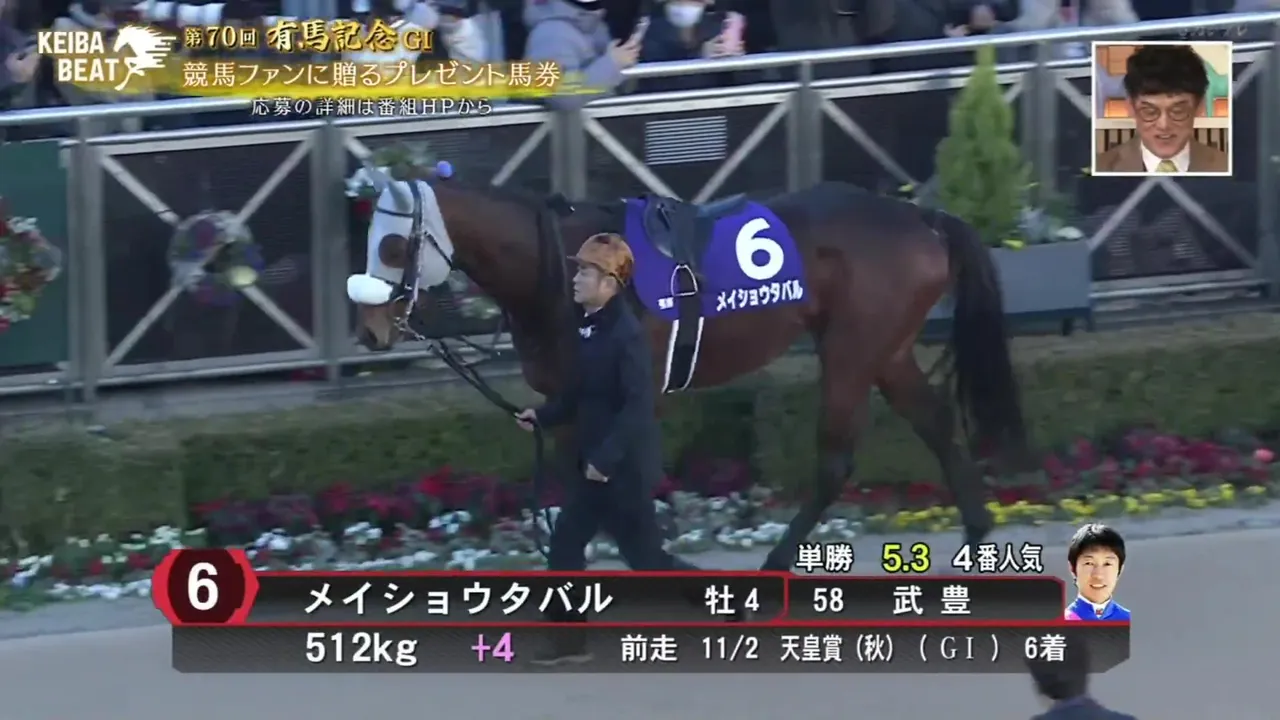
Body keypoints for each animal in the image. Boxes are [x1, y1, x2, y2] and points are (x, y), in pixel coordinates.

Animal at [345, 163, 1028, 572]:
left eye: (393, 245)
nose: (370, 330)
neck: (562, 271)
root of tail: (922, 219)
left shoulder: (634, 394)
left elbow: (621, 488)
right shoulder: (570, 401)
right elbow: (581, 487)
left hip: (852, 349)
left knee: (836, 460)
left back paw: (776, 566)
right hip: (887, 349)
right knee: (936, 424)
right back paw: (975, 539)